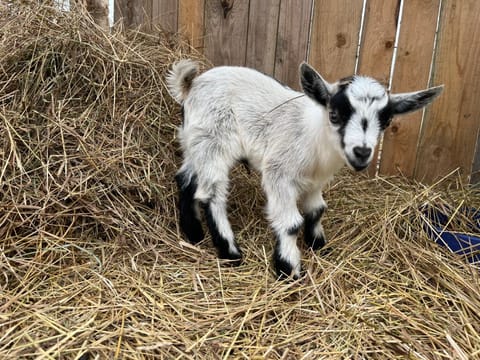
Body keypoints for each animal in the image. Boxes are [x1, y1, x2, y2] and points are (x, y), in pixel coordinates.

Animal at [166, 59, 442, 280]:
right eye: (334, 114)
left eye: (386, 120)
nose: (362, 152)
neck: (315, 137)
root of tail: (191, 86)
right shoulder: (278, 173)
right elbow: (290, 223)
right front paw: (289, 269)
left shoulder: (315, 181)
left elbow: (317, 210)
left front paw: (318, 245)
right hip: (213, 143)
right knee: (211, 194)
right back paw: (230, 251)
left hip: (194, 143)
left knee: (186, 179)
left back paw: (193, 233)